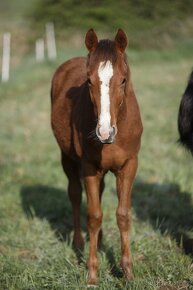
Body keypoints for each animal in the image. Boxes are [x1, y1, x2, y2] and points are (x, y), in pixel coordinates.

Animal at [50, 28, 142, 286]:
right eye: (89, 81)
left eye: (123, 79)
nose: (104, 133)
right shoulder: (89, 167)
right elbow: (94, 215)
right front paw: (92, 275)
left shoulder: (129, 166)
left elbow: (123, 215)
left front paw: (128, 273)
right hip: (67, 158)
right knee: (74, 193)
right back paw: (80, 243)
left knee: (98, 194)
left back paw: (99, 243)